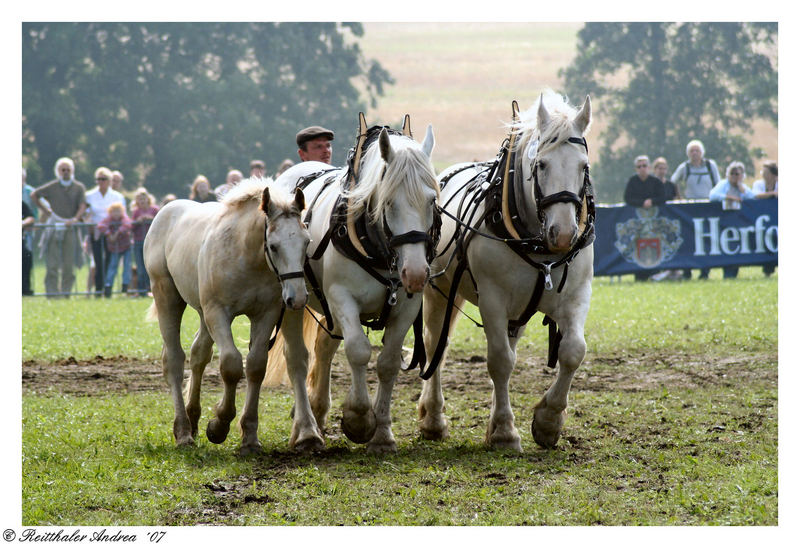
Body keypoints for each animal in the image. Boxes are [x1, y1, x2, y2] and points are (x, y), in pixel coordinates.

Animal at [144, 180, 322, 454]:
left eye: (306, 242)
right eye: (273, 246)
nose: (298, 298)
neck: (246, 255)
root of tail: (165, 212)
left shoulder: (265, 315)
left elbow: (256, 366)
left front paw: (249, 436)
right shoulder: (218, 313)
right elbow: (231, 365)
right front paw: (219, 425)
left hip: (202, 312)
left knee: (199, 355)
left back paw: (193, 419)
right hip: (168, 297)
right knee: (174, 360)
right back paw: (183, 431)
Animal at [268, 117, 438, 456]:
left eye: (432, 200)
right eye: (389, 201)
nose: (415, 273)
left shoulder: (407, 306)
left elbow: (388, 362)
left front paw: (382, 435)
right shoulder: (341, 297)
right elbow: (358, 351)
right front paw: (358, 418)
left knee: (324, 348)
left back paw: (318, 412)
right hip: (294, 297)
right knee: (298, 360)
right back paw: (306, 430)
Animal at [418, 93, 592, 450]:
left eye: (584, 166)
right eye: (542, 165)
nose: (564, 234)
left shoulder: (577, 295)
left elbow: (572, 352)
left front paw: (548, 421)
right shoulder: (493, 299)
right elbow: (500, 361)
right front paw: (504, 431)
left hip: (519, 310)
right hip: (438, 292)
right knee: (435, 345)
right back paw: (433, 418)